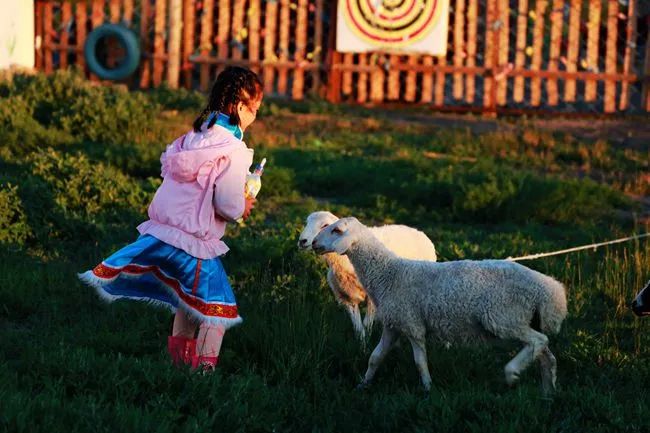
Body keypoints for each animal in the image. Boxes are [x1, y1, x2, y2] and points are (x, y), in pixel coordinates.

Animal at [298, 212, 436, 340]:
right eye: (306, 222)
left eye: (326, 225)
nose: (302, 241)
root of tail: (419, 231)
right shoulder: (347, 297)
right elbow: (358, 328)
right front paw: (361, 345)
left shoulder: (374, 296)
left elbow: (367, 325)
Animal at [312, 216, 564, 394]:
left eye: (336, 230)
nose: (313, 242)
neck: (390, 273)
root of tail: (548, 289)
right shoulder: (393, 325)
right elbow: (375, 358)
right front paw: (363, 385)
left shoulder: (413, 325)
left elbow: (420, 362)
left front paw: (427, 389)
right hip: (519, 320)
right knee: (545, 354)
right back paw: (548, 391)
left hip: (504, 318)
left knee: (539, 341)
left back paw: (512, 373)